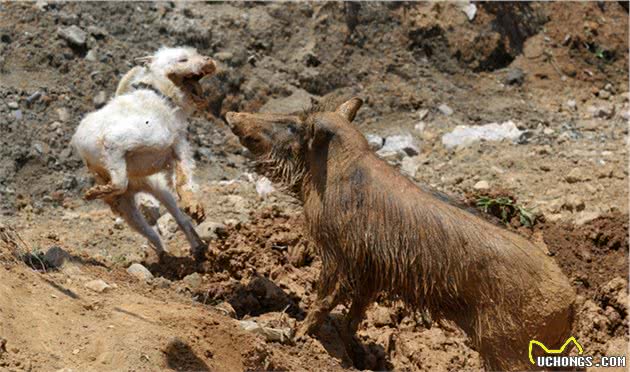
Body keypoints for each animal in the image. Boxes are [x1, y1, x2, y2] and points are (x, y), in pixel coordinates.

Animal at [72, 46, 217, 262]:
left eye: (196, 54)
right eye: (182, 59)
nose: (208, 60)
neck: (161, 98)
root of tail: (139, 186)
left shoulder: (178, 147)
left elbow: (185, 179)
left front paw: (193, 204)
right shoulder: (115, 141)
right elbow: (119, 181)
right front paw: (95, 192)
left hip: (160, 192)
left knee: (180, 221)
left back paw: (192, 249)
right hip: (128, 210)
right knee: (150, 229)